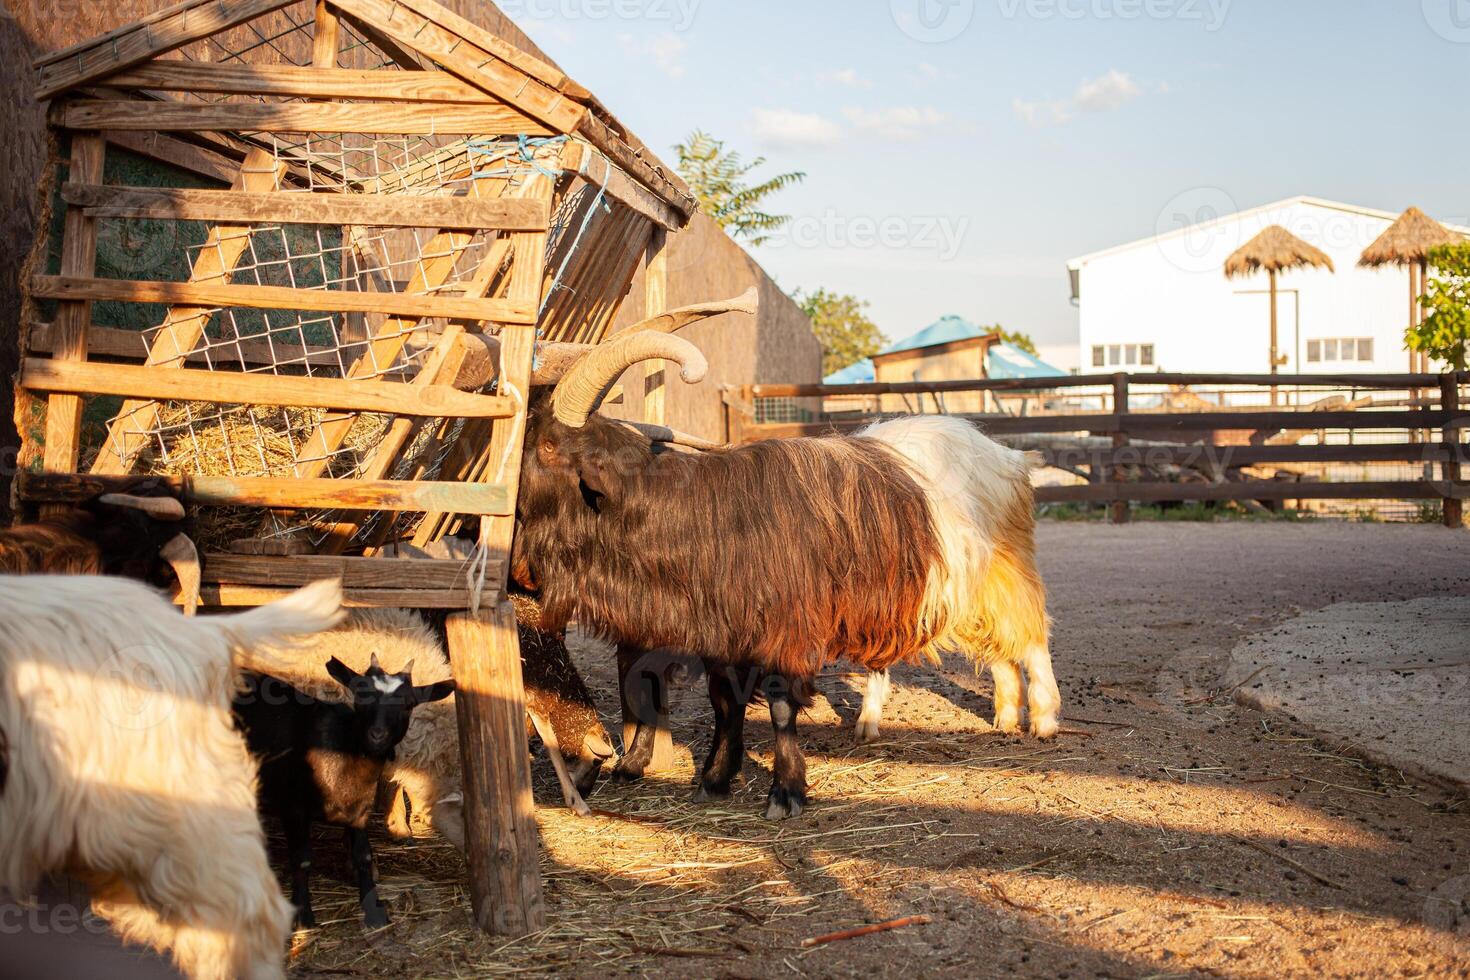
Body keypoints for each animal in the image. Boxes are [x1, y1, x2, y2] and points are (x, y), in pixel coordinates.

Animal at [852, 414, 1058, 743]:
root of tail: (1011, 458)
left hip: (1005, 569)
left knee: (1031, 635)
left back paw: (1044, 722)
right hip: (968, 587)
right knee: (999, 643)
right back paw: (1007, 718)